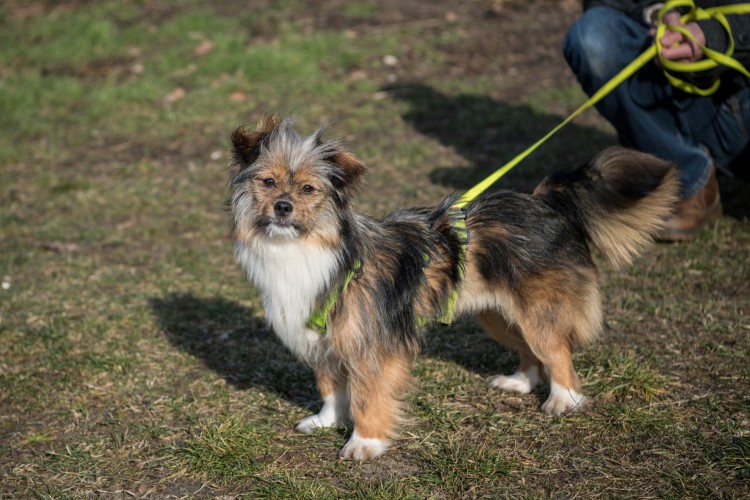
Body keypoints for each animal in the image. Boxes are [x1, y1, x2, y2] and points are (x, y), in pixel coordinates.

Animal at [229, 115, 680, 458]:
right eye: (268, 182)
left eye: (309, 189)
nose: (282, 207)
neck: (311, 249)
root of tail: (544, 200)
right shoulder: (321, 339)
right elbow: (330, 388)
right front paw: (326, 421)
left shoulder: (372, 346)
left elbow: (366, 395)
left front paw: (365, 443)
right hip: (498, 314)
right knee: (532, 352)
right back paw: (520, 382)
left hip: (536, 311)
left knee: (557, 353)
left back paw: (562, 401)